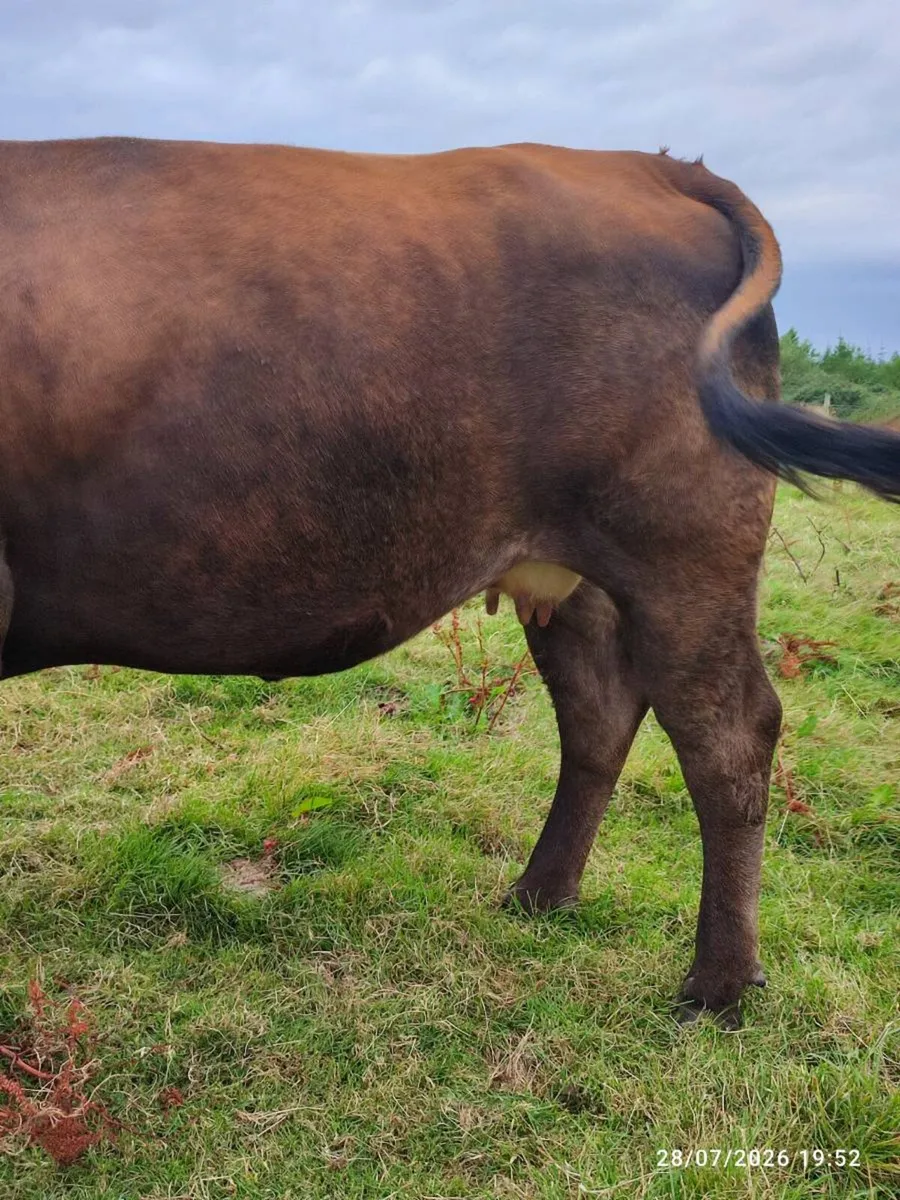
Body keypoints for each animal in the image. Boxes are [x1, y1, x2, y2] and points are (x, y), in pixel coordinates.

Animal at [1, 137, 898, 1026]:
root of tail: (647, 162)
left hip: (685, 563)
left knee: (729, 738)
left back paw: (715, 987)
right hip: (580, 580)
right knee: (600, 714)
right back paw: (541, 895)